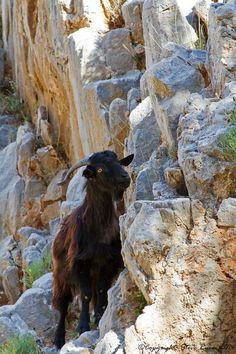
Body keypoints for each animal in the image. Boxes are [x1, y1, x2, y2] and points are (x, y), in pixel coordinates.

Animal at [52, 150, 133, 348]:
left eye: (120, 162)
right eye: (100, 169)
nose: (125, 177)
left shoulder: (107, 261)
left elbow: (102, 290)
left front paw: (99, 316)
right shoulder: (80, 263)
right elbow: (86, 295)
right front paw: (83, 326)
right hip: (60, 275)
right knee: (62, 304)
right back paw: (58, 338)